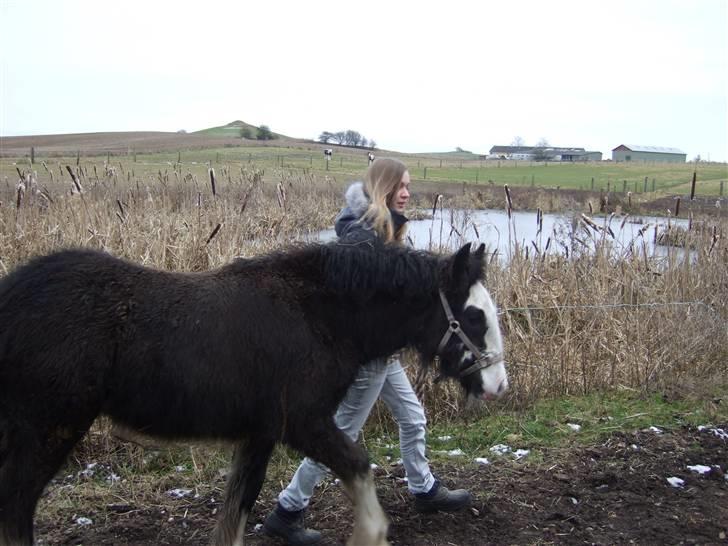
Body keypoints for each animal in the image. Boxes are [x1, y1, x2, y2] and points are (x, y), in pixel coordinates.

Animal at [0, 241, 508, 546]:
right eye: (474, 315)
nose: (498, 386)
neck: (317, 314)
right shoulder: (302, 423)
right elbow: (358, 466)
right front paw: (372, 534)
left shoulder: (259, 434)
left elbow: (238, 507)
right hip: (47, 430)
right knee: (16, 506)